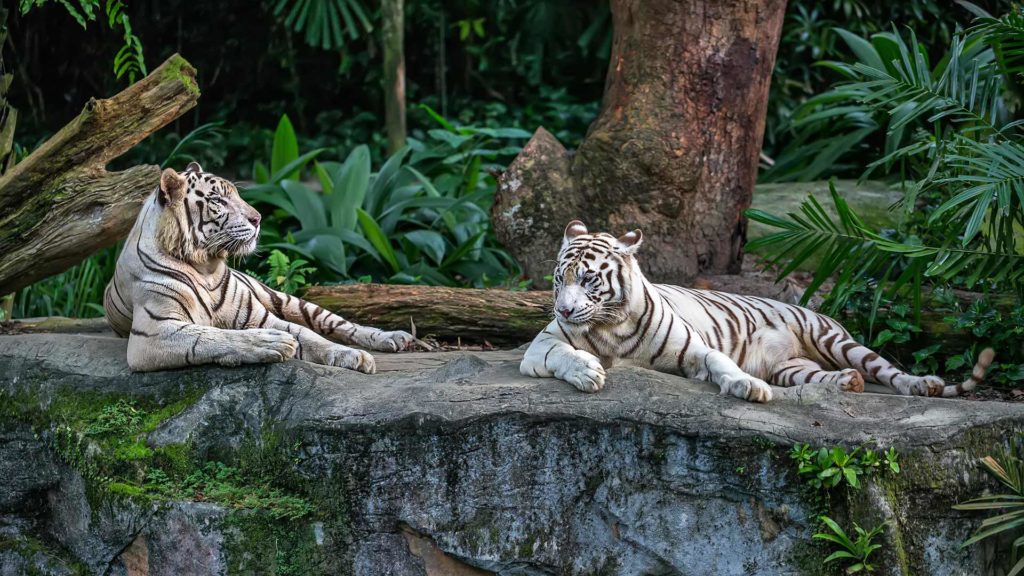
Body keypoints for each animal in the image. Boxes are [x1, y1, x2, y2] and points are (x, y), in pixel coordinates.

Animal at [104, 161, 415, 373]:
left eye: (236, 195)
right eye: (218, 200)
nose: (258, 218)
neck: (206, 267)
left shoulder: (259, 315)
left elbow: (309, 335)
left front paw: (354, 356)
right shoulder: (153, 332)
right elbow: (213, 335)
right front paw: (273, 344)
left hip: (285, 299)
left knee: (339, 324)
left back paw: (394, 338)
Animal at [520, 217, 991, 401]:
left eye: (588, 280)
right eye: (559, 280)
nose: (564, 311)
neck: (610, 326)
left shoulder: (694, 349)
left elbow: (720, 362)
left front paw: (748, 387)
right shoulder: (539, 348)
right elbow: (564, 353)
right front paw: (587, 371)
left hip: (835, 340)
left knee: (889, 371)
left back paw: (923, 385)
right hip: (794, 369)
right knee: (827, 377)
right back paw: (847, 384)